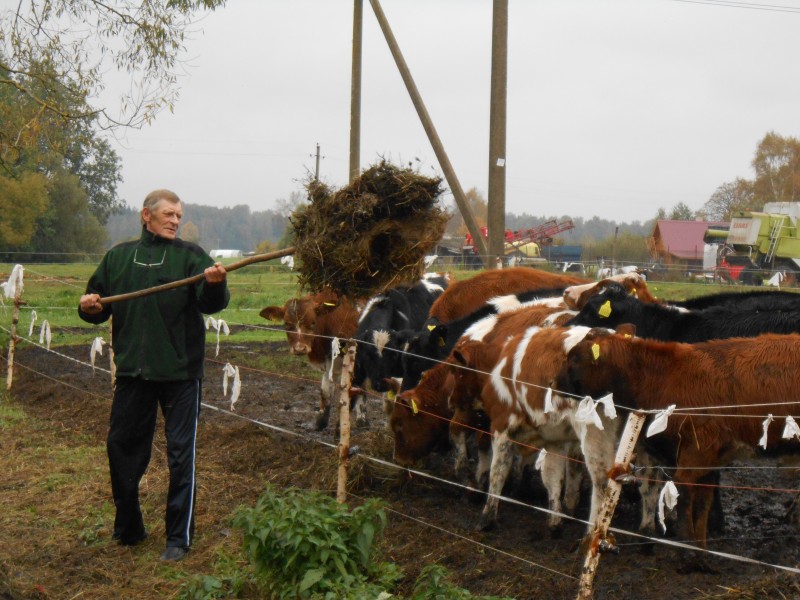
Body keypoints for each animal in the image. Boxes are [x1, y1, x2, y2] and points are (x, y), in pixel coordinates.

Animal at [260, 288, 360, 428]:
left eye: (313, 322)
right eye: (287, 324)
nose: (299, 348)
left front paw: (340, 426)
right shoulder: (328, 361)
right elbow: (325, 390)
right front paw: (320, 422)